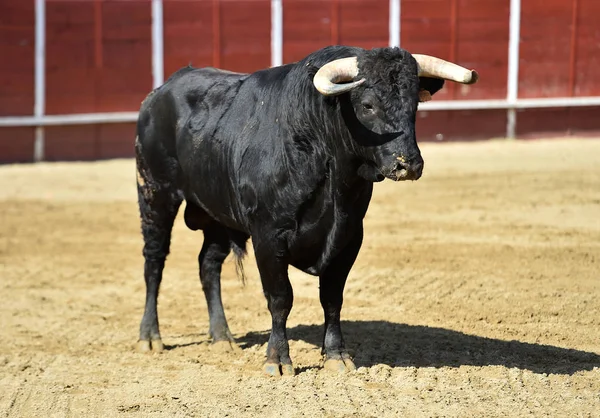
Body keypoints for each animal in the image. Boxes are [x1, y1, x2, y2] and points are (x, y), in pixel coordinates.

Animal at [136, 45, 478, 376]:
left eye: (414, 105)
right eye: (367, 105)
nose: (408, 164)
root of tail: (161, 91)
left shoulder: (349, 237)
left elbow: (332, 297)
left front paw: (337, 356)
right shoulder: (268, 236)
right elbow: (280, 298)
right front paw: (277, 360)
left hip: (217, 213)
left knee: (208, 264)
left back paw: (222, 337)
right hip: (155, 193)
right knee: (154, 261)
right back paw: (150, 337)